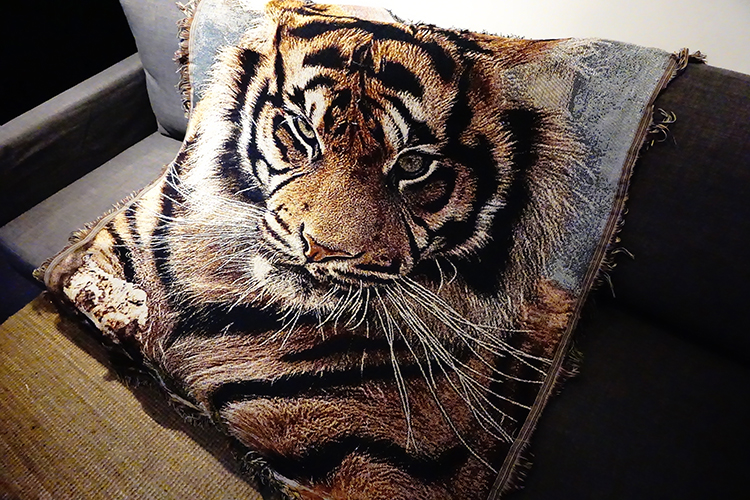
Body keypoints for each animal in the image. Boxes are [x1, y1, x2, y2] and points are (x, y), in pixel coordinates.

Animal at [44, 1, 583, 498]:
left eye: (413, 166)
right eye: (304, 131)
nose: (320, 248)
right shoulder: (120, 237)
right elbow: (80, 273)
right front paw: (127, 312)